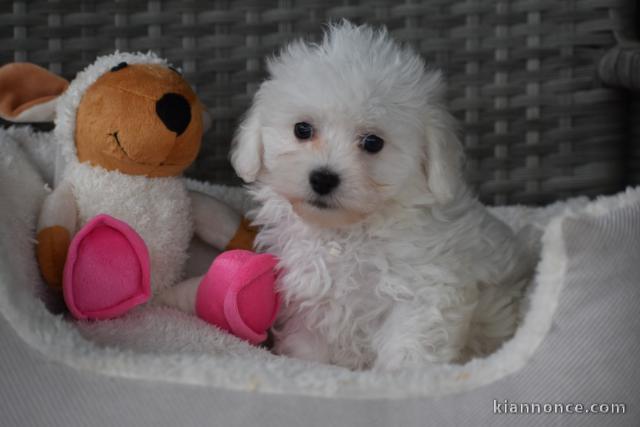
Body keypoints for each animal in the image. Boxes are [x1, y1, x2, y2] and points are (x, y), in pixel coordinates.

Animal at [229, 21, 528, 372]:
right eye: (302, 129)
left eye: (373, 142)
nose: (323, 178)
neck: (346, 233)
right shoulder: (309, 300)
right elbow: (310, 350)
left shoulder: (421, 292)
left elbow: (408, 348)